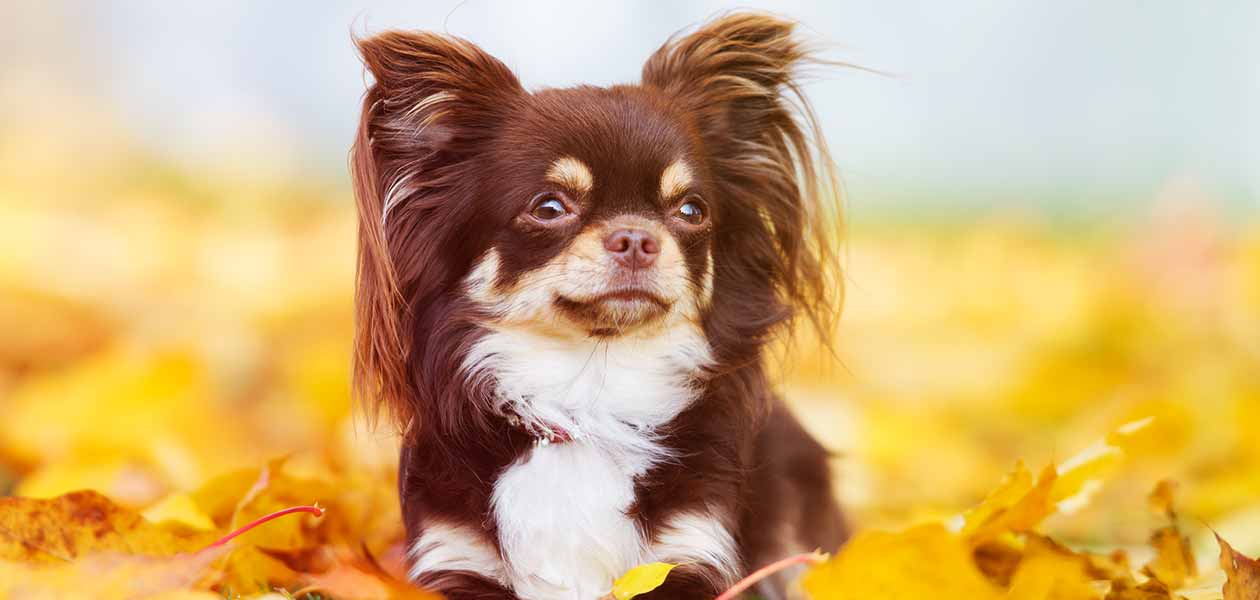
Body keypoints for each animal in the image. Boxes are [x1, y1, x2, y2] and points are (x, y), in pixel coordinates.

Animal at [350, 10, 851, 600]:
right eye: (549, 207)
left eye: (692, 210)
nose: (636, 238)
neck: (588, 394)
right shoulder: (457, 559)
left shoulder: (692, 553)